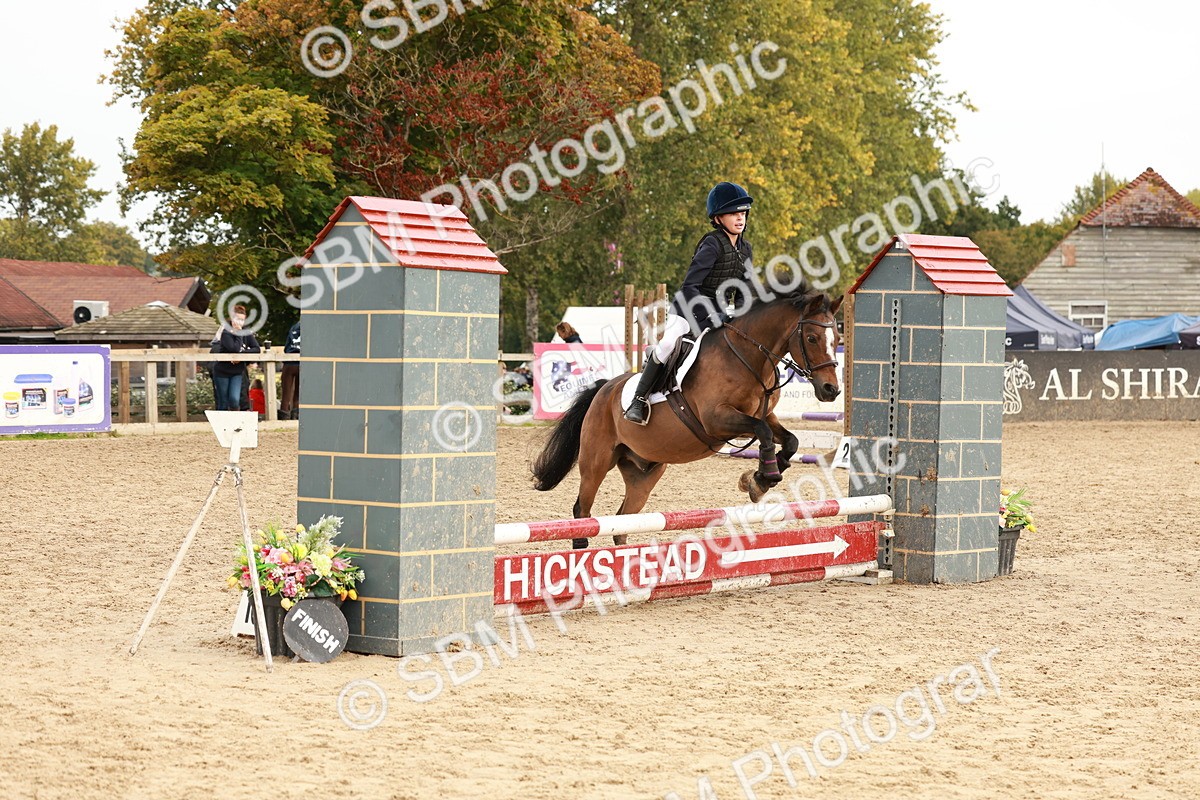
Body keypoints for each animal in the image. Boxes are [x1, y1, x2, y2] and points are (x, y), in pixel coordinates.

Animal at [530, 285, 842, 549]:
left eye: (838, 339)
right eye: (812, 338)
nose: (831, 390)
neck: (747, 357)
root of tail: (603, 389)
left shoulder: (763, 416)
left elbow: (790, 440)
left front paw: (760, 478)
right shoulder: (716, 420)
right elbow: (764, 432)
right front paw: (761, 479)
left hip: (643, 474)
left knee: (623, 522)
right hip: (596, 462)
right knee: (583, 510)